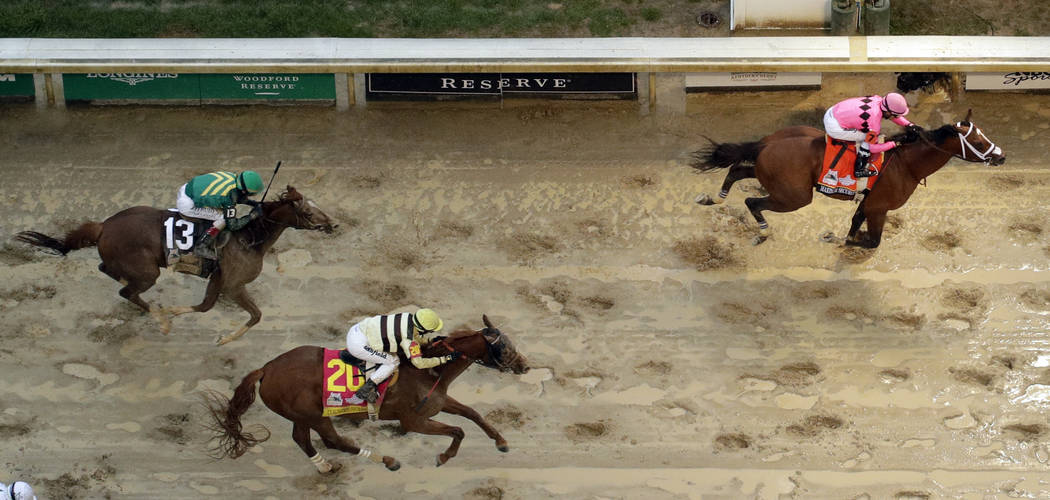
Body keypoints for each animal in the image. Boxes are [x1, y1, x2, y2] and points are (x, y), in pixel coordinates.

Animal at [15, 185, 331, 346]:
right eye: (306, 211)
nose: (331, 224)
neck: (248, 237)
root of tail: (104, 226)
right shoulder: (233, 284)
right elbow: (255, 315)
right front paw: (222, 338)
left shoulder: (218, 279)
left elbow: (206, 307)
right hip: (148, 272)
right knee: (127, 292)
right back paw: (161, 320)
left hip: (127, 264)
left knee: (108, 272)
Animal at [202, 315, 533, 474]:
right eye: (504, 346)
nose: (525, 366)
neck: (429, 372)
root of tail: (267, 368)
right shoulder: (414, 421)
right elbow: (458, 430)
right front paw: (444, 456)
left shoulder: (437, 403)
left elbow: (472, 414)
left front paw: (500, 441)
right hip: (316, 415)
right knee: (333, 441)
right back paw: (387, 460)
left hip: (303, 415)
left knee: (304, 440)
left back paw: (324, 466)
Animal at [692, 111, 1003, 247]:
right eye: (977, 139)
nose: (1001, 155)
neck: (907, 164)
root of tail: (766, 143)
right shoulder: (880, 208)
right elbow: (871, 242)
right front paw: (833, 237)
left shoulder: (869, 202)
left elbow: (855, 224)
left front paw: (843, 236)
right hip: (794, 196)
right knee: (752, 201)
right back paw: (763, 231)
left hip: (768, 175)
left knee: (736, 172)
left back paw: (712, 198)